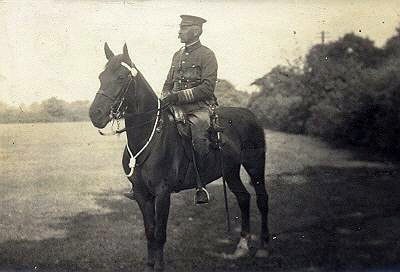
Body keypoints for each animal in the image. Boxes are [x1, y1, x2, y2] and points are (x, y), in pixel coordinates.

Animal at [89, 43, 270, 270]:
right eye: (100, 76)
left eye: (121, 77)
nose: (95, 114)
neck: (149, 136)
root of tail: (250, 115)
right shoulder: (141, 194)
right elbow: (149, 231)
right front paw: (150, 265)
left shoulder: (162, 193)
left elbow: (160, 234)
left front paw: (159, 266)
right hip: (230, 171)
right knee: (244, 197)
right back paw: (242, 245)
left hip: (255, 165)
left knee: (262, 199)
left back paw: (263, 247)